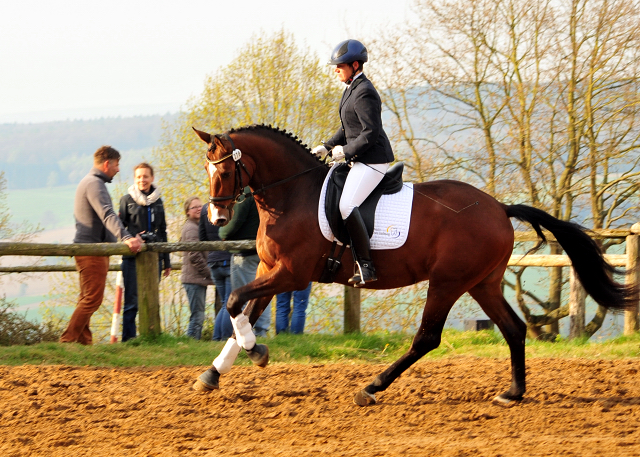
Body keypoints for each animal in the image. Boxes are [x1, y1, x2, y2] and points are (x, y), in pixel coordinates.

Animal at [191, 123, 636, 404]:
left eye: (224, 170)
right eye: (207, 168)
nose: (216, 218)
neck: (292, 195)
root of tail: (499, 207)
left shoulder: (290, 275)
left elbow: (233, 301)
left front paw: (256, 351)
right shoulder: (269, 271)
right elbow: (244, 311)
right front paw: (215, 371)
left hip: (448, 282)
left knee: (428, 337)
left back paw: (371, 388)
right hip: (483, 283)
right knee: (513, 328)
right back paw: (512, 393)